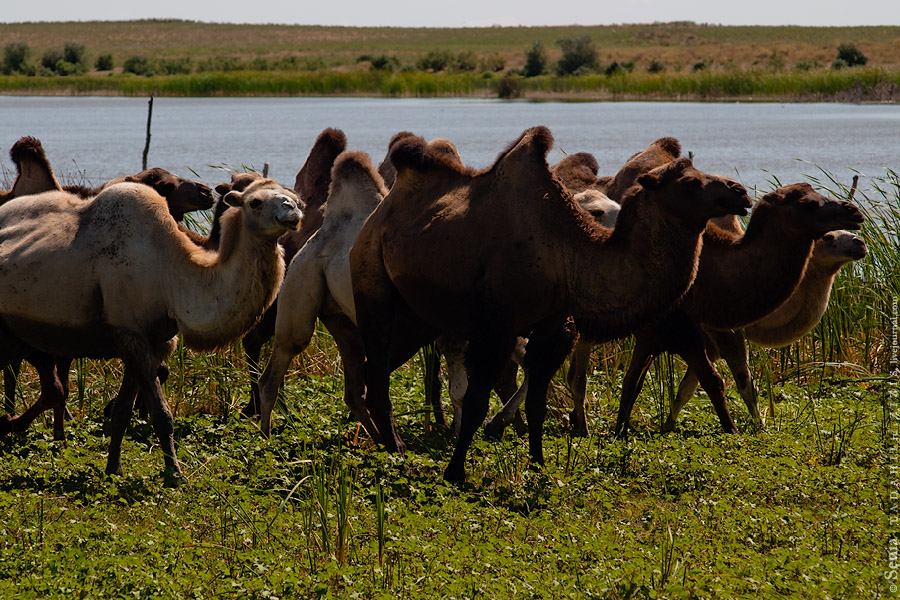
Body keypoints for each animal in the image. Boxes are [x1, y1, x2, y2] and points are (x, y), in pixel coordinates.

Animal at [0, 177, 304, 478]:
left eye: (293, 197)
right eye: (255, 202)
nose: (292, 211)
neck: (171, 275)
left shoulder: (155, 340)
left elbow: (123, 410)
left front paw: (114, 469)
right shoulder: (131, 332)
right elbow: (161, 413)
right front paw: (174, 474)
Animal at [350, 127, 752, 482]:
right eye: (690, 182)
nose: (741, 192)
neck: (565, 254)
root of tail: (382, 210)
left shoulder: (553, 327)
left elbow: (537, 405)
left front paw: (538, 466)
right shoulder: (496, 327)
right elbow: (478, 401)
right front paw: (455, 473)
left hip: (417, 316)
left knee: (375, 370)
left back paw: (389, 445)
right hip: (373, 285)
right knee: (378, 370)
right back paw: (396, 451)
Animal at [660, 227, 872, 428]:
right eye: (828, 236)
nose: (860, 243)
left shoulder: (705, 340)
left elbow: (688, 386)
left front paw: (668, 425)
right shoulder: (721, 332)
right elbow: (744, 383)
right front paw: (760, 426)